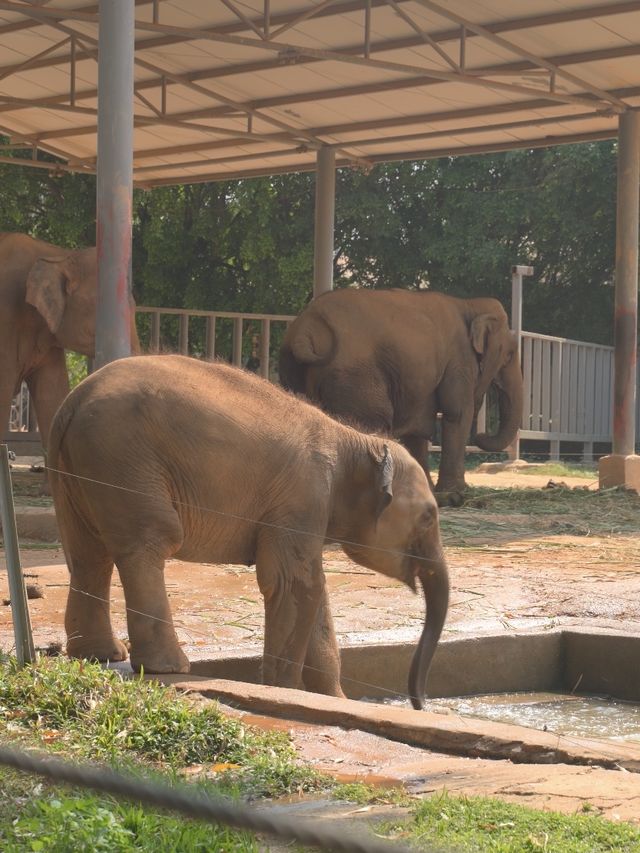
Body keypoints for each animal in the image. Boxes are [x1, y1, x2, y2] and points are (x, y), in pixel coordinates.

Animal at [48, 356, 450, 708]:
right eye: (429, 517)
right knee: (149, 543)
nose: (419, 703)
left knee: (87, 553)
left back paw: (100, 654)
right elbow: (294, 583)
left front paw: (334, 699)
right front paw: (282, 689)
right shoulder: (302, 496)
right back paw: (169, 666)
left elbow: (314, 590)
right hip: (125, 460)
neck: (353, 439)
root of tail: (73, 402)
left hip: (80, 471)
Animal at [278, 288, 524, 500]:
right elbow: (458, 412)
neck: (469, 304)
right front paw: (457, 491)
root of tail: (305, 330)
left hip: (295, 370)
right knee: (375, 421)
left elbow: (418, 429)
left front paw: (429, 491)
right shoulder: (459, 359)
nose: (482, 435)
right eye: (510, 355)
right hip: (355, 377)